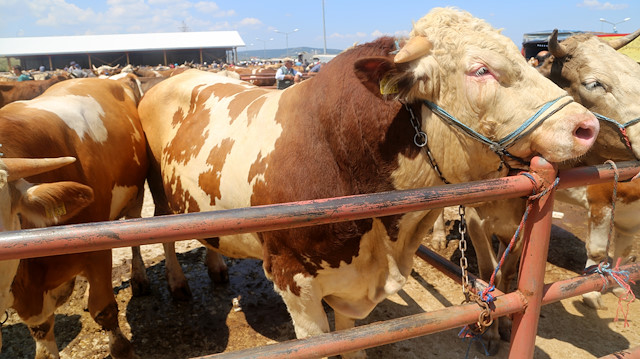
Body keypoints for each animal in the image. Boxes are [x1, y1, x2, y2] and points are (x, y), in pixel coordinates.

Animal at [0, 74, 146, 358]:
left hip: (136, 195)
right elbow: (42, 334)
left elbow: (105, 310)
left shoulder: (97, 248)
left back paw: (139, 278)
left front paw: (123, 348)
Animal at [136, 8, 600, 359]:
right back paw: (176, 284)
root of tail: (175, 75)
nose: (586, 126)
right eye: (481, 70)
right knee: (163, 233)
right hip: (158, 193)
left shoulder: (353, 291)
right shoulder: (294, 283)